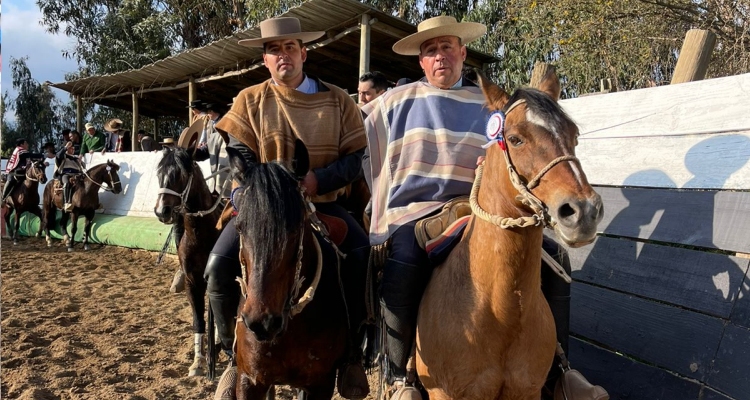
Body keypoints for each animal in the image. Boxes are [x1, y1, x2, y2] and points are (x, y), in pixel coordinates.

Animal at [153, 148, 222, 378]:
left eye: (180, 174)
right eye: (159, 173)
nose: (161, 211)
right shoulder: (193, 283)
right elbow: (198, 320)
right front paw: (198, 362)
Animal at [418, 69, 604, 400]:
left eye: (574, 135)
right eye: (515, 139)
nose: (583, 211)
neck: (500, 314)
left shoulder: (527, 391)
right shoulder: (443, 393)